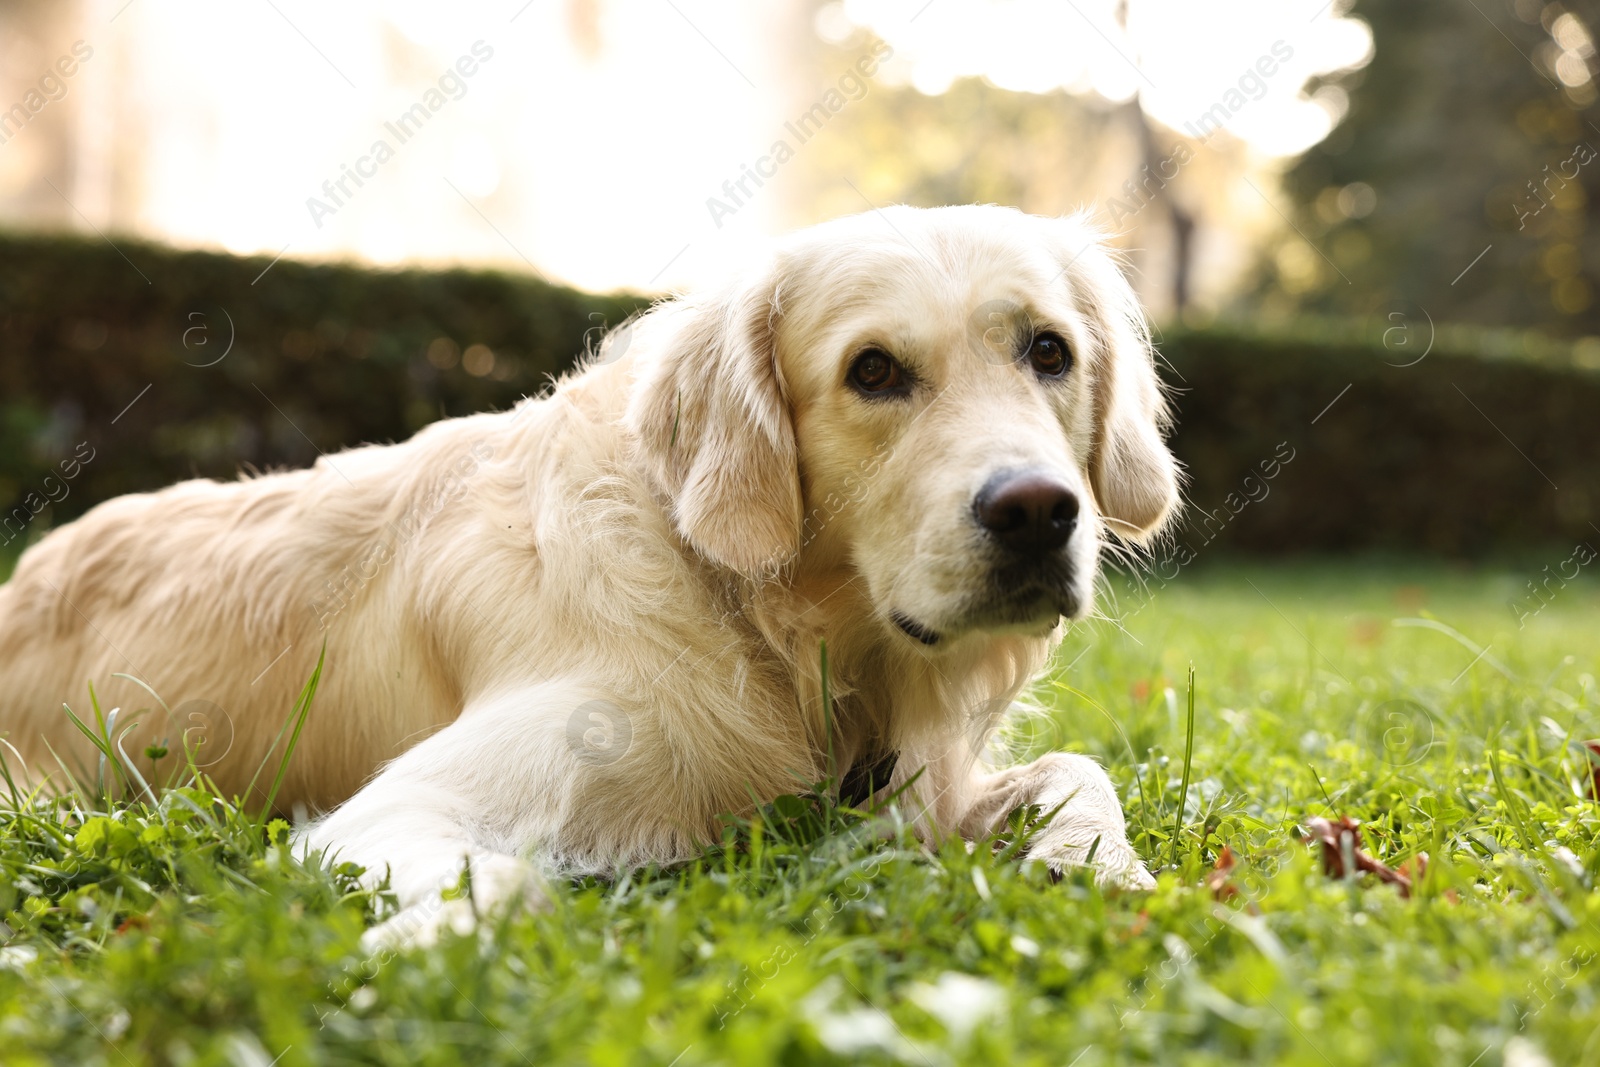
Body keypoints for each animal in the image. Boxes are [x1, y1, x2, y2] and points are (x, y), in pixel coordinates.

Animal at [0, 204, 1177, 940]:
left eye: (1048, 351)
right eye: (873, 371)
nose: (1038, 513)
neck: (762, 625)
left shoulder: (927, 784)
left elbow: (1081, 767)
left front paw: (1102, 870)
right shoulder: (389, 812)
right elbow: (512, 879)